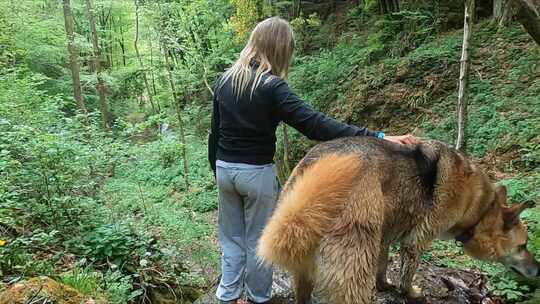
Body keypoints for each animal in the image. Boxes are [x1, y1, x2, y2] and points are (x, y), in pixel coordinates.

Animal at [256, 137, 536, 304]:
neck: (479, 207)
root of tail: (313, 164)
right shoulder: (417, 240)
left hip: (303, 271)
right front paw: (410, 294)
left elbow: (382, 266)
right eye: (523, 245)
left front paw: (384, 286)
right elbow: (407, 274)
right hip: (354, 264)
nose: (539, 269)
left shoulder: (385, 235)